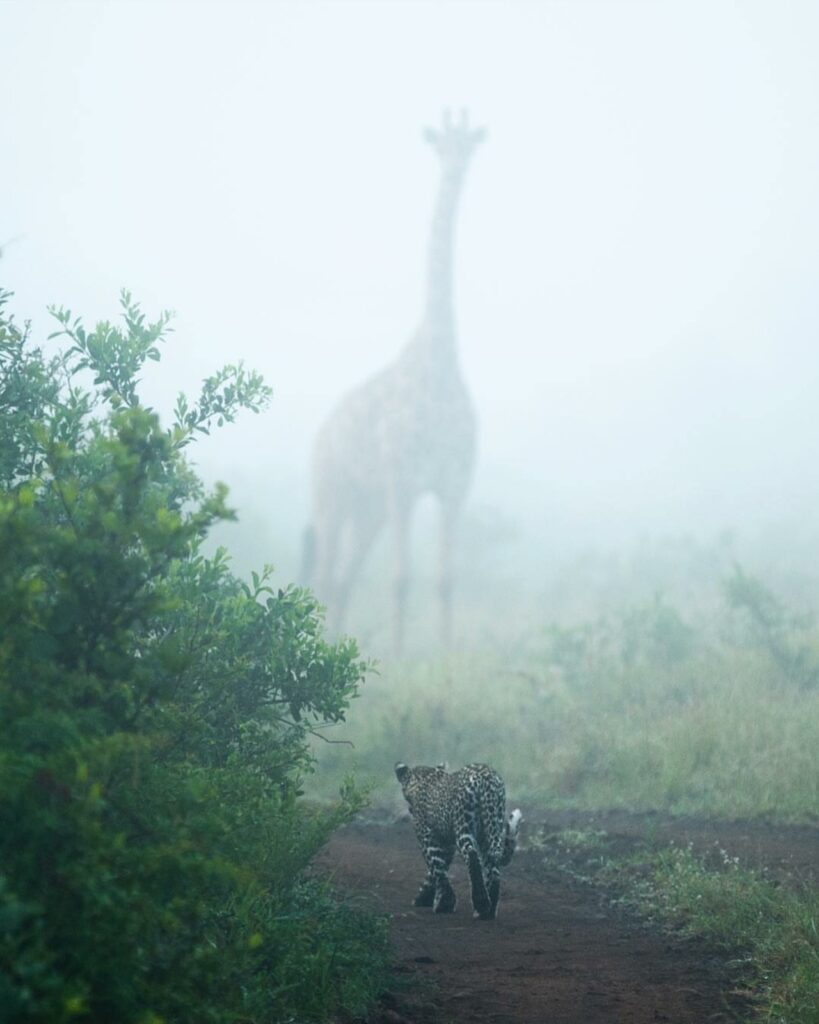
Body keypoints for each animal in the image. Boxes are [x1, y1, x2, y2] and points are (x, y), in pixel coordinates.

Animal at [303, 108, 483, 651]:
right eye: (440, 144)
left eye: (471, 144)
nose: (455, 167)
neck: (439, 363)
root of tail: (320, 436)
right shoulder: (401, 483)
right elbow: (401, 579)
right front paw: (402, 660)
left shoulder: (453, 484)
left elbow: (446, 579)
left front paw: (445, 660)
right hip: (333, 493)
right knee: (325, 574)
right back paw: (321, 649)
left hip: (368, 508)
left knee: (344, 577)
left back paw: (336, 645)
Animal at [393, 761, 522, 921]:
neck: (423, 779)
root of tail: (487, 779)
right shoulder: (447, 844)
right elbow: (437, 869)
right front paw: (427, 897)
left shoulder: (427, 838)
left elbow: (436, 867)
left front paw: (443, 903)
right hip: (491, 830)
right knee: (493, 866)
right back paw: (488, 911)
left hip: (464, 826)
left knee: (472, 855)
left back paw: (481, 903)